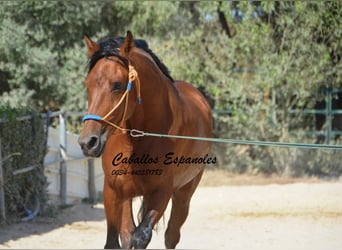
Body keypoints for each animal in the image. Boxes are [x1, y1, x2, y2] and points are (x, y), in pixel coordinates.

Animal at [79, 31, 212, 248]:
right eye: (87, 84)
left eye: (117, 85)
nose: (88, 142)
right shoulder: (113, 191)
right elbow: (116, 240)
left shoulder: (161, 192)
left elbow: (141, 236)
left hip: (184, 194)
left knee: (171, 235)